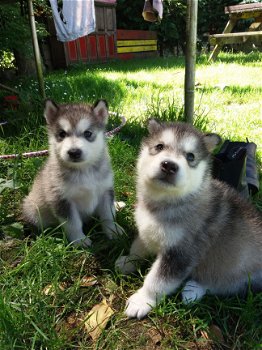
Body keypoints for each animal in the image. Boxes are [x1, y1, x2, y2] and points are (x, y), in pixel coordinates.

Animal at [22, 98, 121, 246]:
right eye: (62, 134)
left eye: (88, 133)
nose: (74, 152)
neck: (83, 170)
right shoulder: (61, 199)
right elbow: (73, 223)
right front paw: (79, 240)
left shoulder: (105, 190)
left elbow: (108, 215)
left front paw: (112, 230)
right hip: (33, 209)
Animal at [116, 120, 262, 320]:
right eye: (159, 146)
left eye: (190, 156)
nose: (169, 165)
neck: (167, 202)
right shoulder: (147, 230)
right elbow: (138, 246)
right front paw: (128, 261)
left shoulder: (181, 253)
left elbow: (157, 280)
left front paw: (142, 300)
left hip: (239, 269)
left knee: (222, 283)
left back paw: (193, 290)